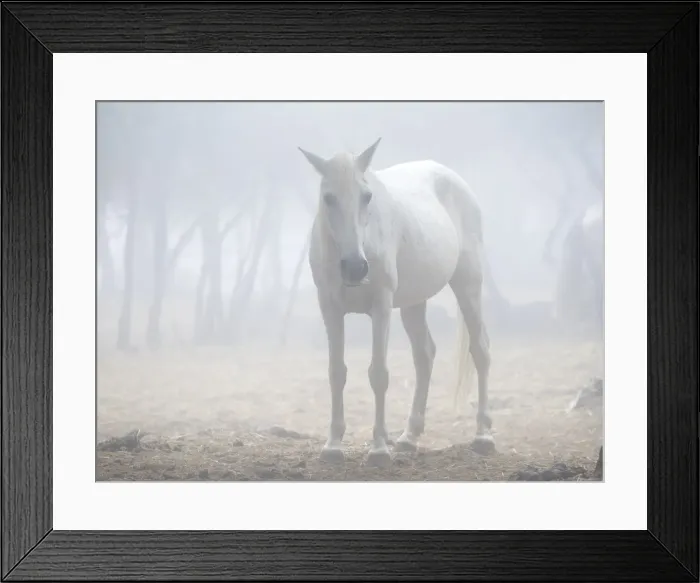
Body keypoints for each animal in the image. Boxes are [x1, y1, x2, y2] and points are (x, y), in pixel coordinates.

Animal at [298, 138, 493, 467]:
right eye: (328, 198)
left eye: (367, 196)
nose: (355, 268)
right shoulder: (330, 308)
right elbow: (336, 372)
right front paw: (333, 445)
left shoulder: (381, 306)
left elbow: (378, 373)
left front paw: (378, 449)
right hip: (415, 302)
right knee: (425, 355)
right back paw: (409, 437)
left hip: (468, 285)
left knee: (480, 350)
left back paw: (483, 436)